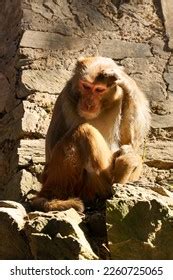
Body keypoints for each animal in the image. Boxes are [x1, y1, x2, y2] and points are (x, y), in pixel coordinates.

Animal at [31, 56, 150, 212]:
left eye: (99, 89)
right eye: (86, 87)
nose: (88, 103)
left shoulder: (119, 98)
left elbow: (130, 141)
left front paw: (124, 78)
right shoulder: (65, 98)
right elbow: (51, 150)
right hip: (78, 187)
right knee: (83, 131)